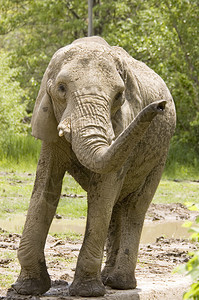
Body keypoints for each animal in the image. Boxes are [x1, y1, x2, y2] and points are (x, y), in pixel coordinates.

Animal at [12, 36, 176, 296]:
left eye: (119, 95)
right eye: (61, 88)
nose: (160, 106)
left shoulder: (123, 125)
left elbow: (102, 192)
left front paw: (86, 292)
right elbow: (45, 188)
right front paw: (27, 289)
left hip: (161, 154)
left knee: (135, 206)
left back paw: (119, 283)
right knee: (117, 207)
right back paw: (109, 278)